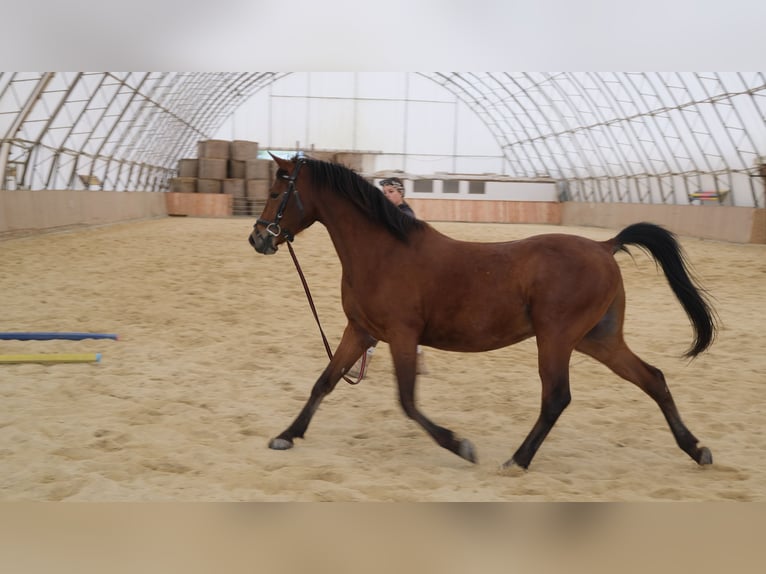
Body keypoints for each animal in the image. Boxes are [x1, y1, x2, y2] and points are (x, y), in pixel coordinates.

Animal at [248, 154, 717, 470]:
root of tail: (604, 246)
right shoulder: (361, 332)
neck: (384, 252)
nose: (258, 238)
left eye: (275, 193)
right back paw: (696, 449)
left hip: (557, 339)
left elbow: (407, 400)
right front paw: (287, 436)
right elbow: (324, 383)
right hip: (597, 339)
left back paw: (518, 460)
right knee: (653, 379)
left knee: (557, 397)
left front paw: (460, 445)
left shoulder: (401, 335)